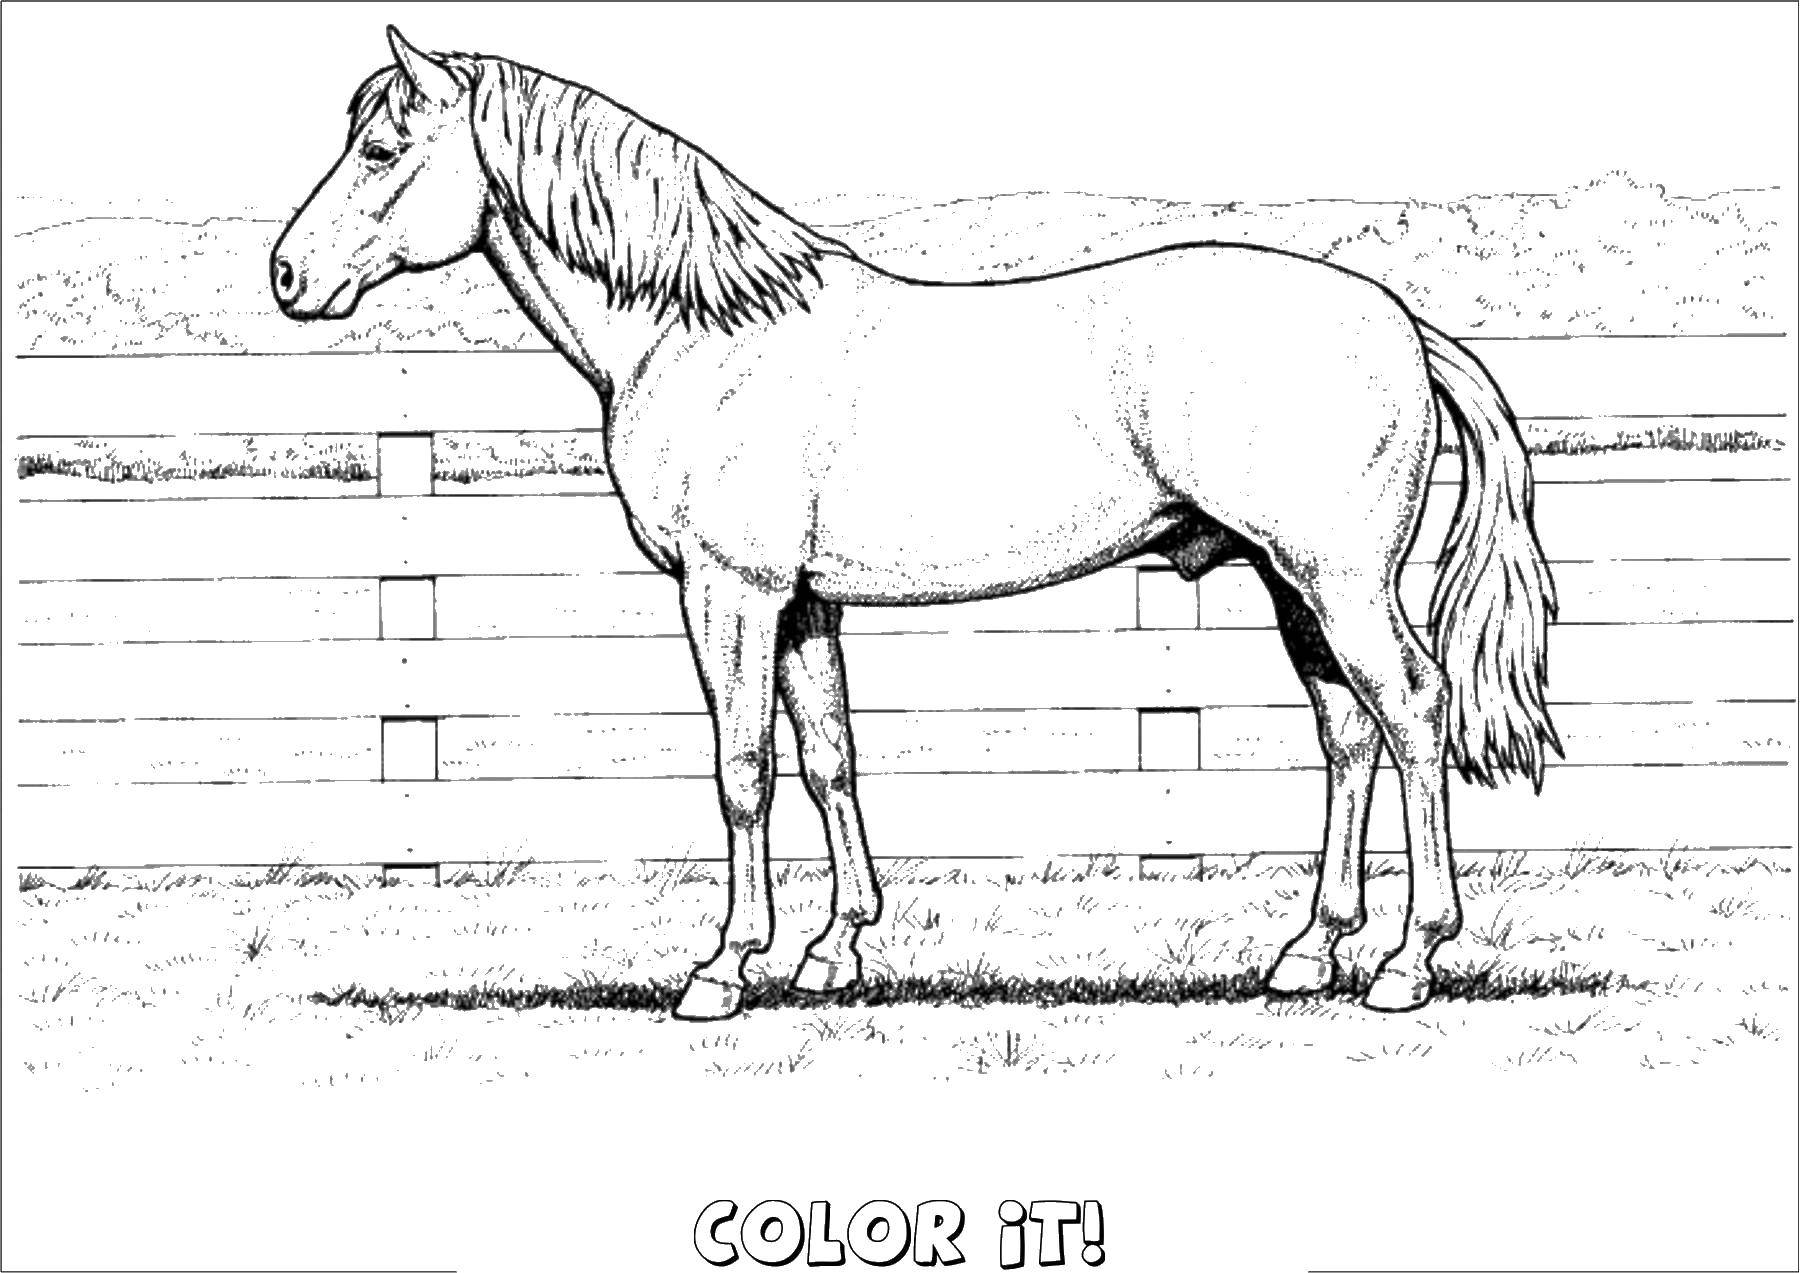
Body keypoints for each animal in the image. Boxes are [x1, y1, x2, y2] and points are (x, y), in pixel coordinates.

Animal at [272, 27, 1560, 1020]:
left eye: (382, 149)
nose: (287, 275)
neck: (706, 332)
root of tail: (1399, 321)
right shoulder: (801, 604)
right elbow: (828, 756)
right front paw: (832, 950)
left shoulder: (729, 591)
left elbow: (742, 770)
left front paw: (723, 969)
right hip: (1292, 582)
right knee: (1349, 735)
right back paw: (1306, 951)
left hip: (1338, 580)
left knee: (1414, 712)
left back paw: (1407, 959)